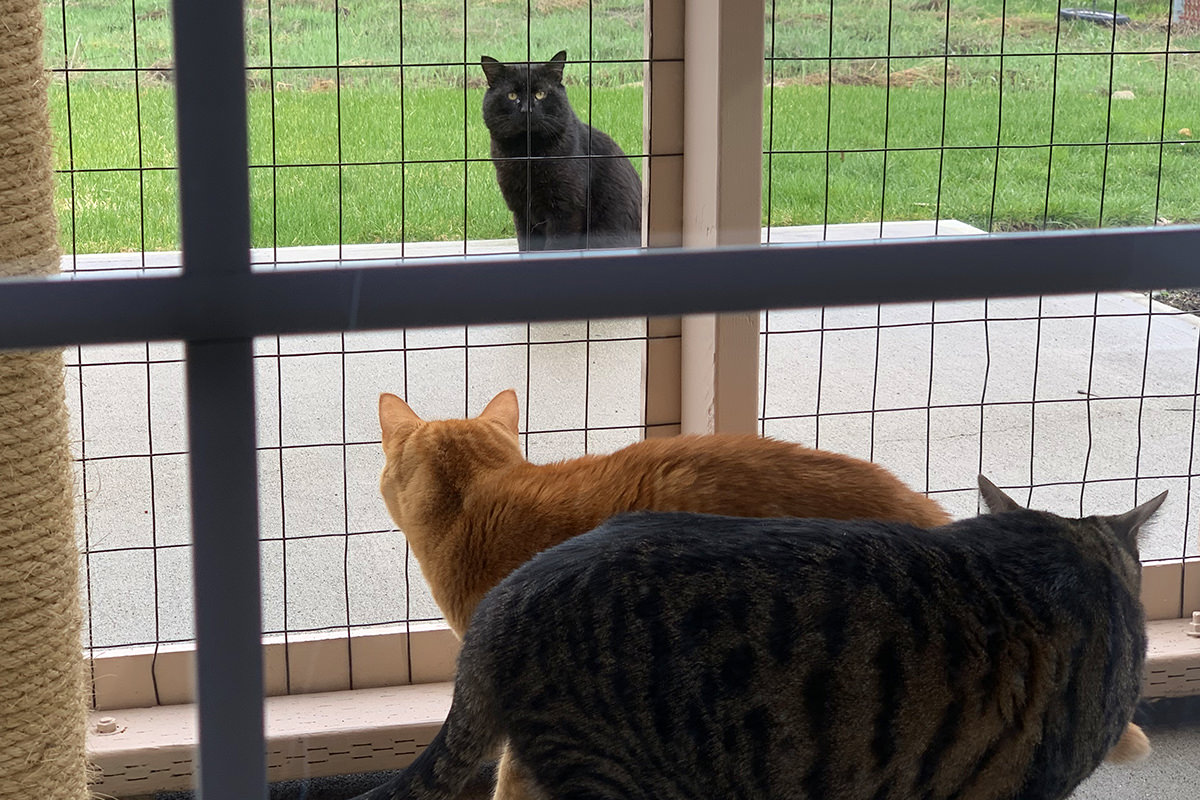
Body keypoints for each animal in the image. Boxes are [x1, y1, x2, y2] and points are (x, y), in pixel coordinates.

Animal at [480, 51, 643, 250]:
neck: (528, 155)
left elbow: (555, 248)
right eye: (511, 95)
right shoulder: (521, 211)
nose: (527, 109)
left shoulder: (565, 211)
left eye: (540, 94)